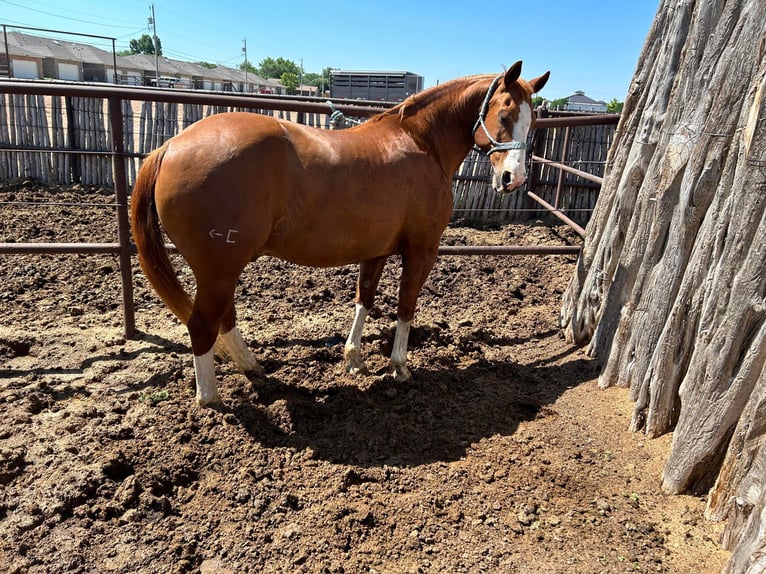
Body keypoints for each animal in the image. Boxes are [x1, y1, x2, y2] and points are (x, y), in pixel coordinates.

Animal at [134, 60, 552, 408]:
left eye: (532, 122)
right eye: (504, 113)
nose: (513, 179)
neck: (420, 142)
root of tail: (169, 146)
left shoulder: (376, 251)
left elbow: (364, 299)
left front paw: (354, 360)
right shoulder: (422, 250)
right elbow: (406, 306)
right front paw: (400, 367)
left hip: (222, 269)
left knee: (224, 317)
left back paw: (252, 365)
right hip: (219, 268)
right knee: (202, 324)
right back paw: (211, 400)